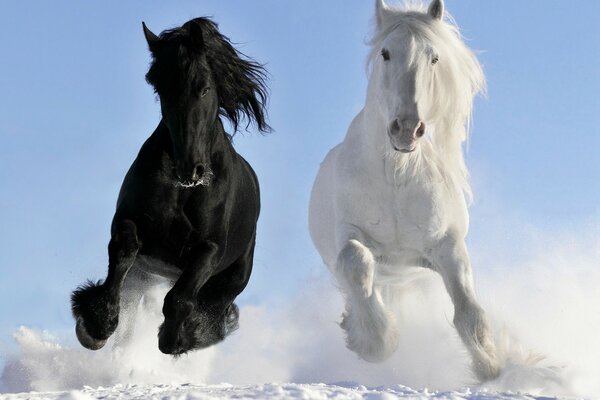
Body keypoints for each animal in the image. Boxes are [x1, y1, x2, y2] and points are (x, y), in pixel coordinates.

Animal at [71, 18, 268, 356]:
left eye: (204, 87)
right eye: (160, 88)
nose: (190, 169)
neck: (184, 190)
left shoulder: (209, 249)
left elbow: (180, 298)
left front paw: (177, 337)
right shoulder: (129, 221)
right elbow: (122, 254)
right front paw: (96, 324)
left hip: (232, 277)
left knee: (213, 308)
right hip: (145, 274)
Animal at [310, 0, 502, 382]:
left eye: (434, 57)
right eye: (385, 53)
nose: (407, 128)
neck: (397, 176)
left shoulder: (447, 246)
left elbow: (469, 312)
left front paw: (491, 366)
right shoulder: (349, 235)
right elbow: (355, 263)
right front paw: (376, 342)